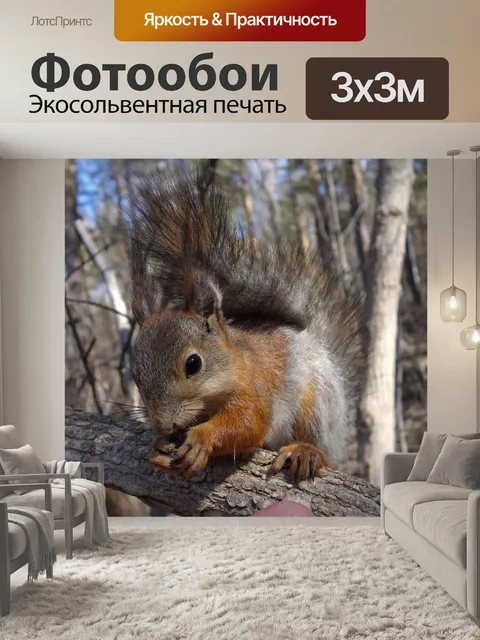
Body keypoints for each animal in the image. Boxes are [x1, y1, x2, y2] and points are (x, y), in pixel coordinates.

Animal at [126, 170, 367, 483]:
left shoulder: (255, 384)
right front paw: (158, 445)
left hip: (317, 402)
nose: (164, 425)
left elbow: (250, 421)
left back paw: (306, 451)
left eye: (193, 364)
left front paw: (202, 438)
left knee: (321, 445)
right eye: (135, 376)